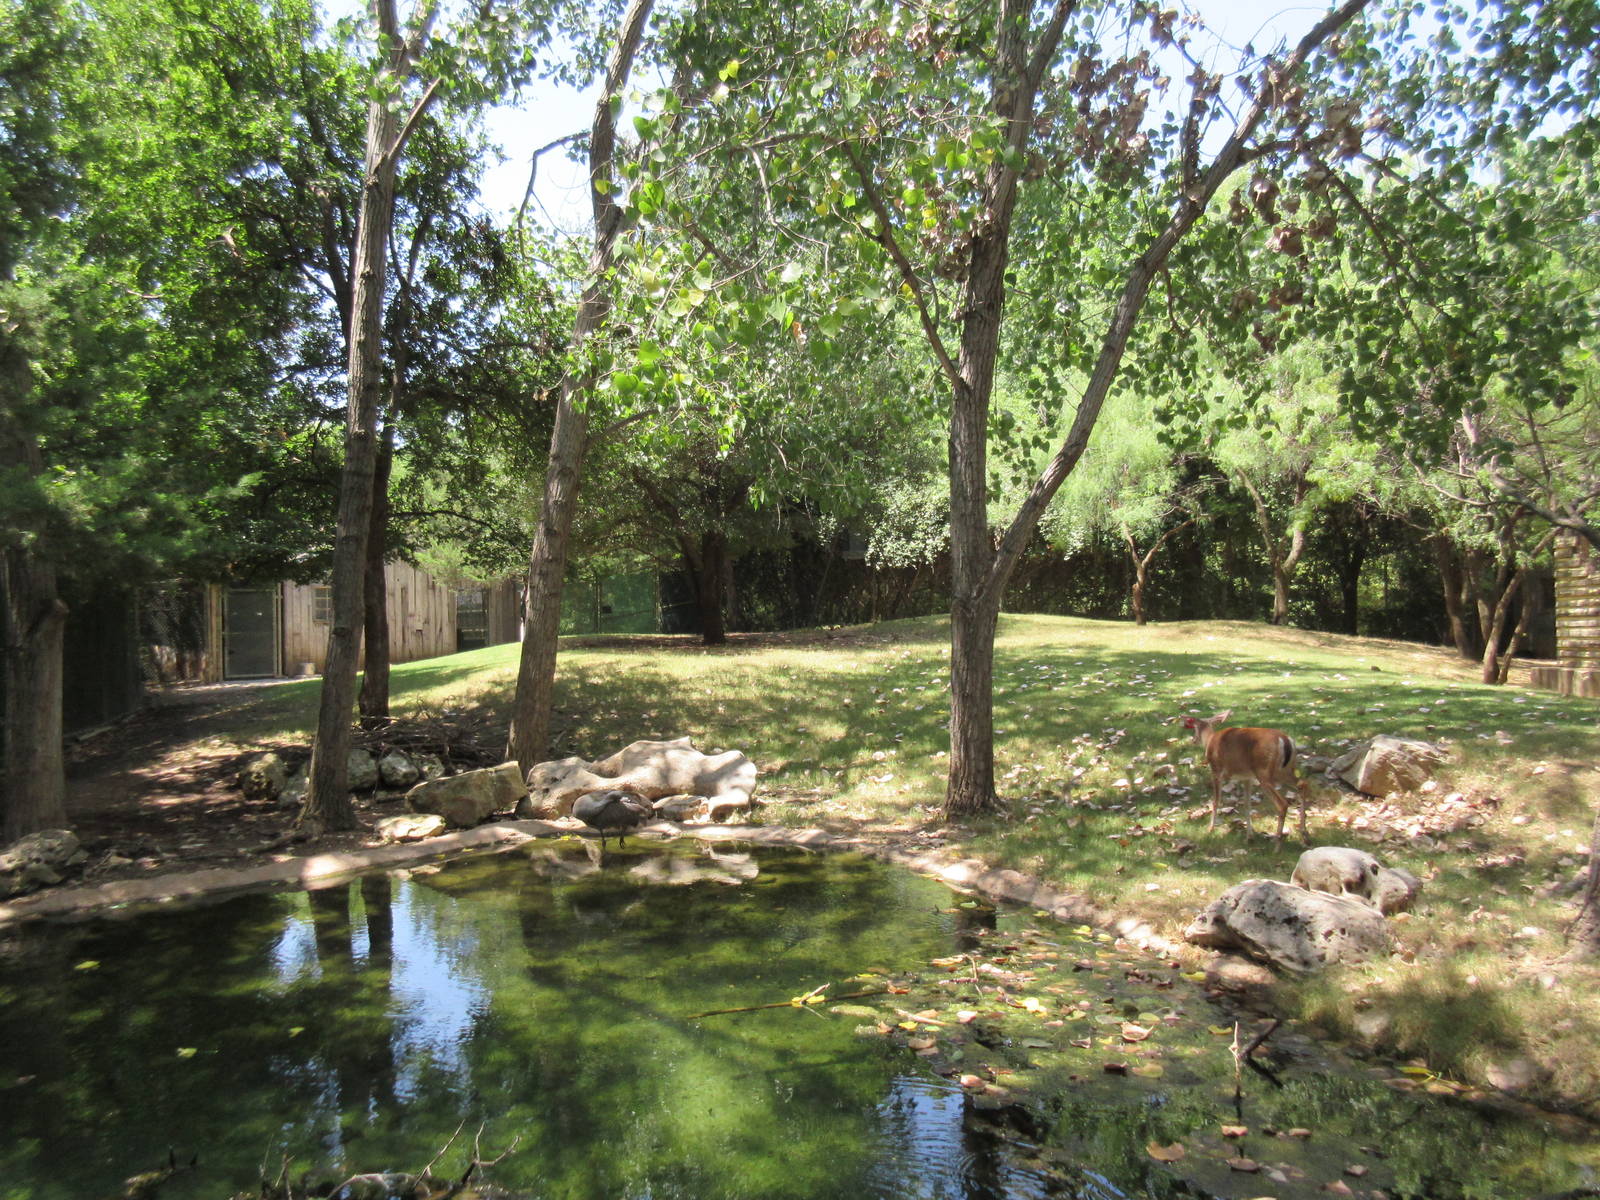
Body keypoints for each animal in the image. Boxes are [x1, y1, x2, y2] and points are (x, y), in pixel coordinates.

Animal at [1180, 709, 1308, 843]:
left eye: (1192, 723)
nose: (1193, 740)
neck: (1209, 741)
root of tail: (1284, 739)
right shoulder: (1247, 777)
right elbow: (1247, 804)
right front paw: (1249, 836)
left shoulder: (1216, 771)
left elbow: (1216, 801)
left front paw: (1210, 829)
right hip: (1284, 770)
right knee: (1303, 783)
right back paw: (1304, 832)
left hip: (1264, 772)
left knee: (1282, 803)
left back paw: (1277, 840)